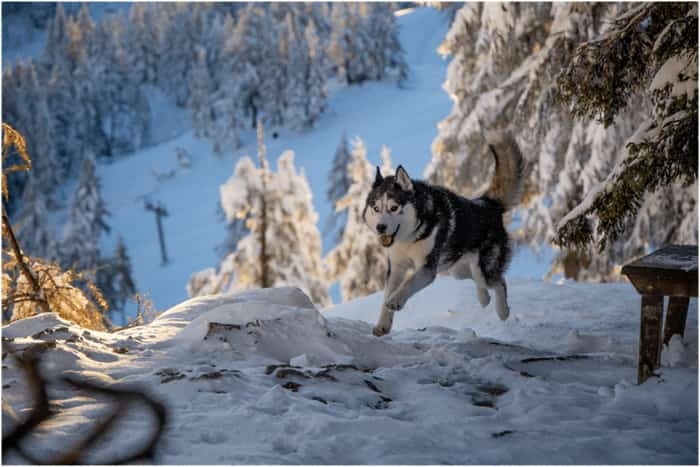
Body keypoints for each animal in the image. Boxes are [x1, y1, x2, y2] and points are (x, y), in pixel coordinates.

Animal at [364, 132, 524, 336]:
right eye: (376, 208)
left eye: (394, 207)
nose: (380, 227)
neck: (409, 238)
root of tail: (486, 203)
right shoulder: (396, 267)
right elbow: (387, 295)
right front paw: (383, 325)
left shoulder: (427, 269)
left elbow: (407, 284)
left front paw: (396, 301)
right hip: (457, 269)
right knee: (480, 280)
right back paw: (484, 298)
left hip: (482, 266)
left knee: (499, 281)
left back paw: (503, 311)